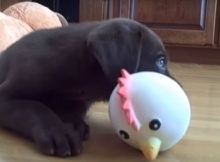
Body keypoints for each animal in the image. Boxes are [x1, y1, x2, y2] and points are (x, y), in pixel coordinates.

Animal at [0, 17, 179, 157]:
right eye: (161, 61)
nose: (181, 90)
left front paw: (73, 122)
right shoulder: (6, 96)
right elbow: (35, 107)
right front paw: (58, 132)